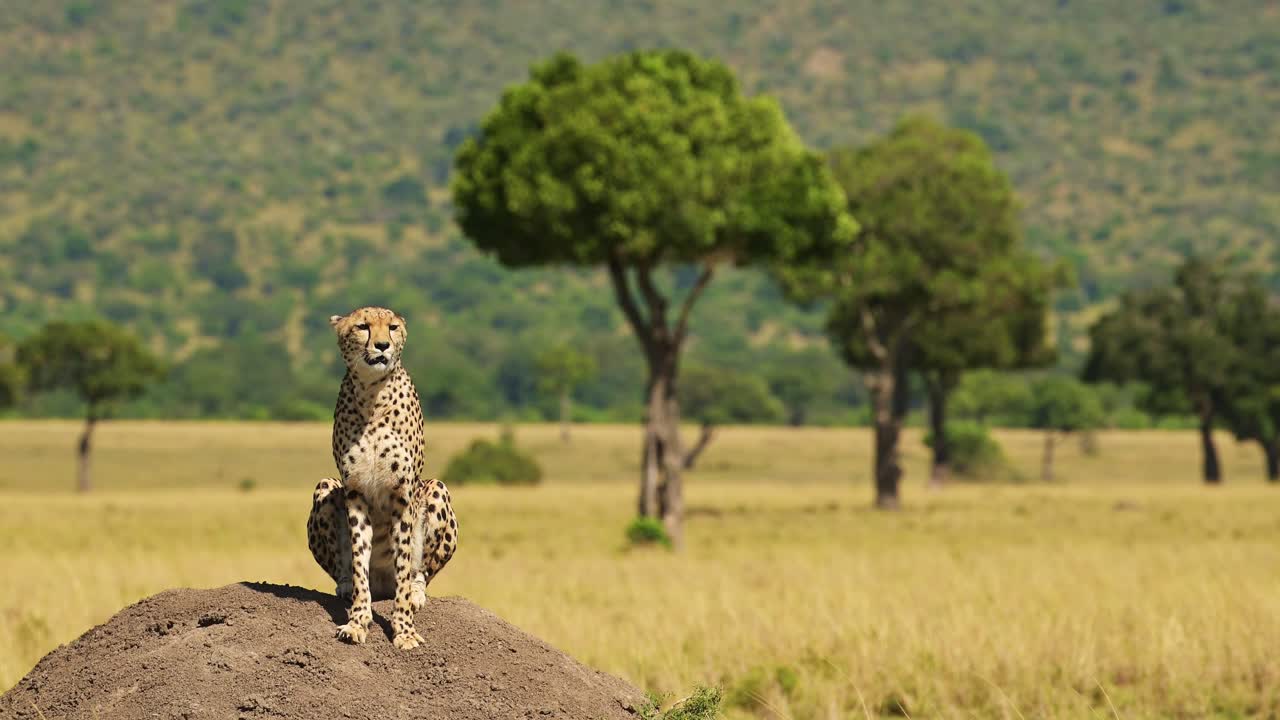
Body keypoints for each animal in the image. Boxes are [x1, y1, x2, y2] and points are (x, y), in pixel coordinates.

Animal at [306, 306, 458, 650]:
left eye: (392, 327)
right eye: (363, 327)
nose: (382, 346)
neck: (372, 394)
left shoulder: (402, 495)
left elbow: (403, 564)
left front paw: (404, 629)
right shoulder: (355, 493)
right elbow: (359, 559)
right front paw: (357, 621)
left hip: (437, 490)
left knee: (419, 572)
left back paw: (416, 592)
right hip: (325, 487)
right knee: (345, 569)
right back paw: (345, 586)